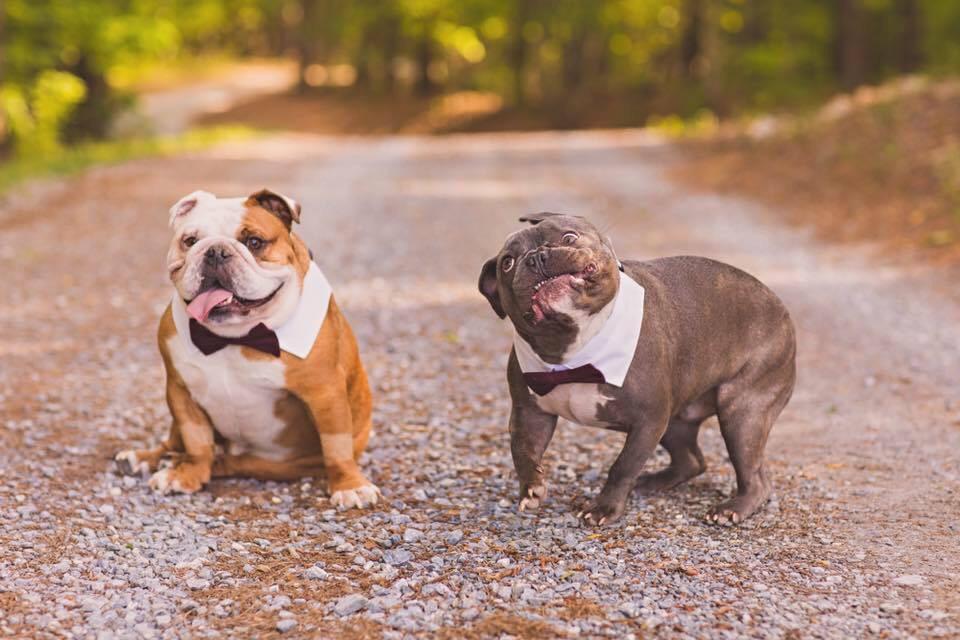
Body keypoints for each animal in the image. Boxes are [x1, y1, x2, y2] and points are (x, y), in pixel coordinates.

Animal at [115, 189, 379, 509]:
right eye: (190, 241)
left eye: (254, 242)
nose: (215, 252)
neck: (237, 337)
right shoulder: (180, 391)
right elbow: (196, 441)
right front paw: (187, 475)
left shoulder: (325, 393)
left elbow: (336, 446)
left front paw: (350, 485)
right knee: (177, 443)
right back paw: (144, 459)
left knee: (230, 462)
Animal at [478, 213, 796, 526]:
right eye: (507, 263)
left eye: (569, 237)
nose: (537, 256)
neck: (574, 347)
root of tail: (781, 308)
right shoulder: (529, 413)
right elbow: (522, 450)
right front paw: (531, 487)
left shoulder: (648, 421)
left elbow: (623, 465)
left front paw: (604, 507)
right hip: (675, 422)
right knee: (691, 461)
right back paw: (651, 483)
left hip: (742, 413)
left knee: (756, 478)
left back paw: (732, 508)